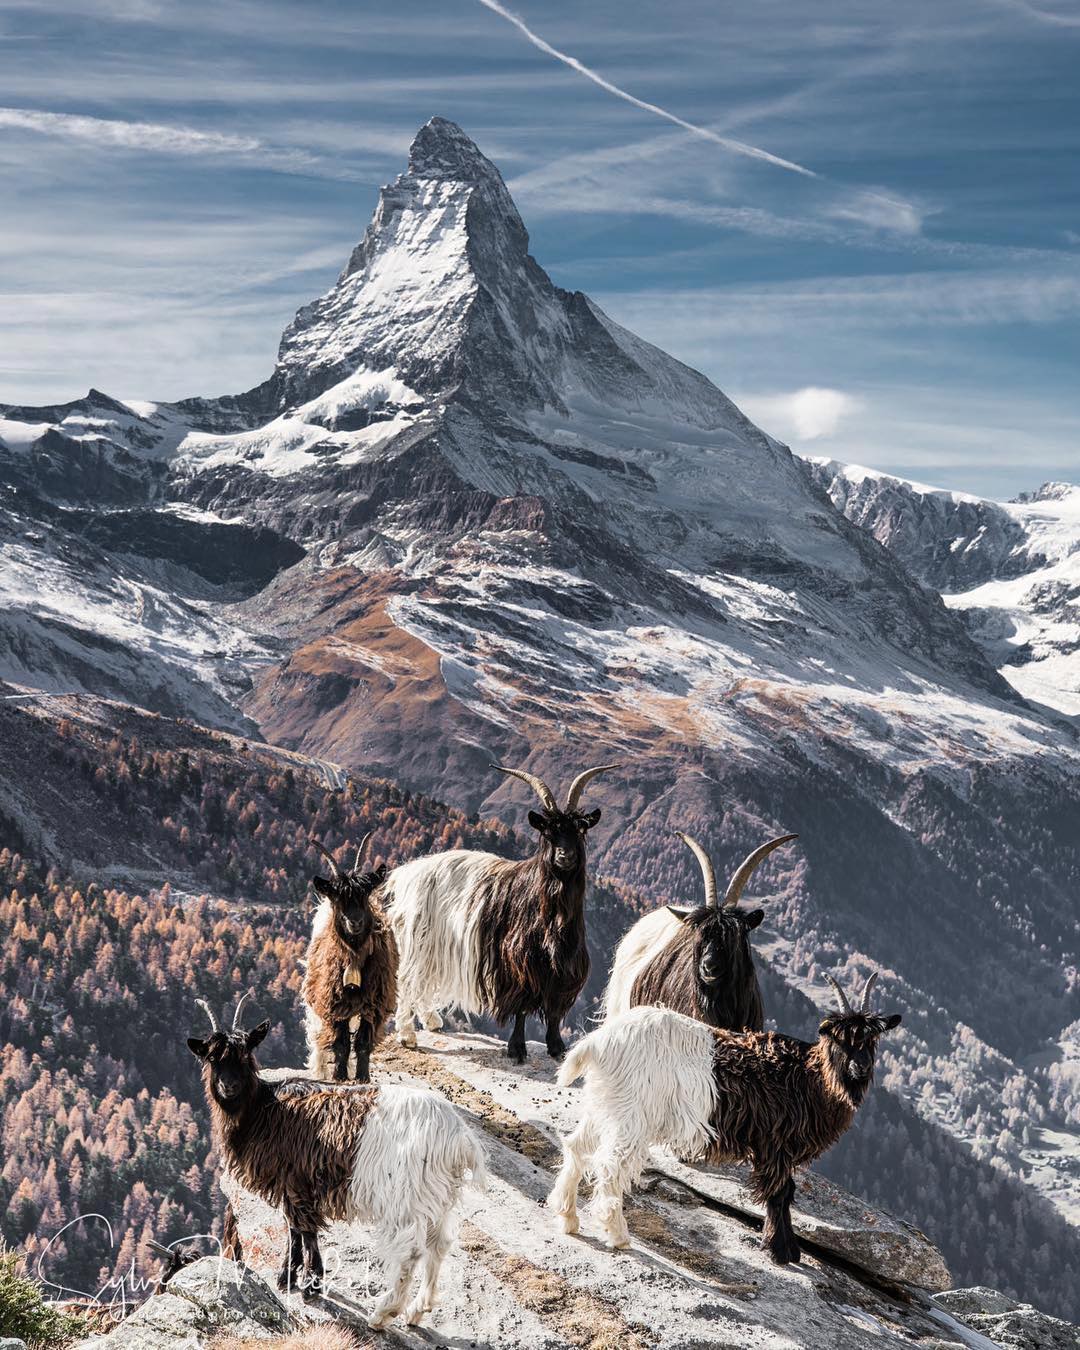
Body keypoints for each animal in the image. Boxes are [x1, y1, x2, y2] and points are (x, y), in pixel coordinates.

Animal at [189, 988, 486, 1323]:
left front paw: (310, 1285)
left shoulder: (296, 1182)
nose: (229, 1086)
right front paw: (288, 1277)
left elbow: (305, 1230)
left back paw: (383, 1313)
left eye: (245, 1053)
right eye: (211, 1057)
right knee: (439, 1245)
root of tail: (458, 1138)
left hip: (406, 1198)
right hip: (438, 1196)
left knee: (411, 1251)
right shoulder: (291, 1185)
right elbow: (293, 1229)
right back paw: (416, 1311)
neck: (263, 1109)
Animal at [301, 831, 399, 1085]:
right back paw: (320, 1069)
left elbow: (363, 1042)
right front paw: (339, 1075)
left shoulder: (374, 1004)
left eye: (365, 895)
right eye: (338, 899)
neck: (354, 959)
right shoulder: (333, 1002)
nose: (354, 921)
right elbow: (341, 1043)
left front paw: (363, 1076)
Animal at [386, 761, 615, 1063]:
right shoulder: (518, 963)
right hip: (417, 940)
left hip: (433, 945)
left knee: (424, 980)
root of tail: (405, 874)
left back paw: (432, 1021)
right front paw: (516, 1049)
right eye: (548, 833)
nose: (564, 856)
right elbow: (520, 1007)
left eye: (579, 831)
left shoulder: (563, 968)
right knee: (408, 981)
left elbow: (554, 1011)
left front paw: (557, 1047)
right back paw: (407, 1035)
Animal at [548, 972, 901, 1263]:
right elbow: (781, 1193)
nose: (860, 1068)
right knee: (610, 1167)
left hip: (605, 1105)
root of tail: (598, 1042)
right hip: (631, 1115)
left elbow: (784, 1193)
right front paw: (780, 1251)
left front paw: (784, 1247)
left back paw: (567, 1218)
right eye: (839, 1039)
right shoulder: (776, 1144)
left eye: (872, 1040)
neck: (808, 1078)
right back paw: (618, 1235)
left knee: (577, 1147)